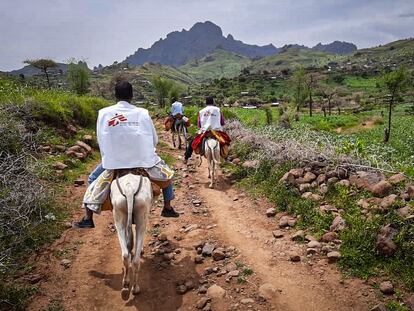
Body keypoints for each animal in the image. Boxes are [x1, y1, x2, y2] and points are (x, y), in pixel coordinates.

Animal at [111, 172, 153, 302]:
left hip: (118, 213)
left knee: (126, 255)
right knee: (135, 260)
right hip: (142, 215)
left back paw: (126, 285)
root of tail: (129, 189)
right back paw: (135, 288)